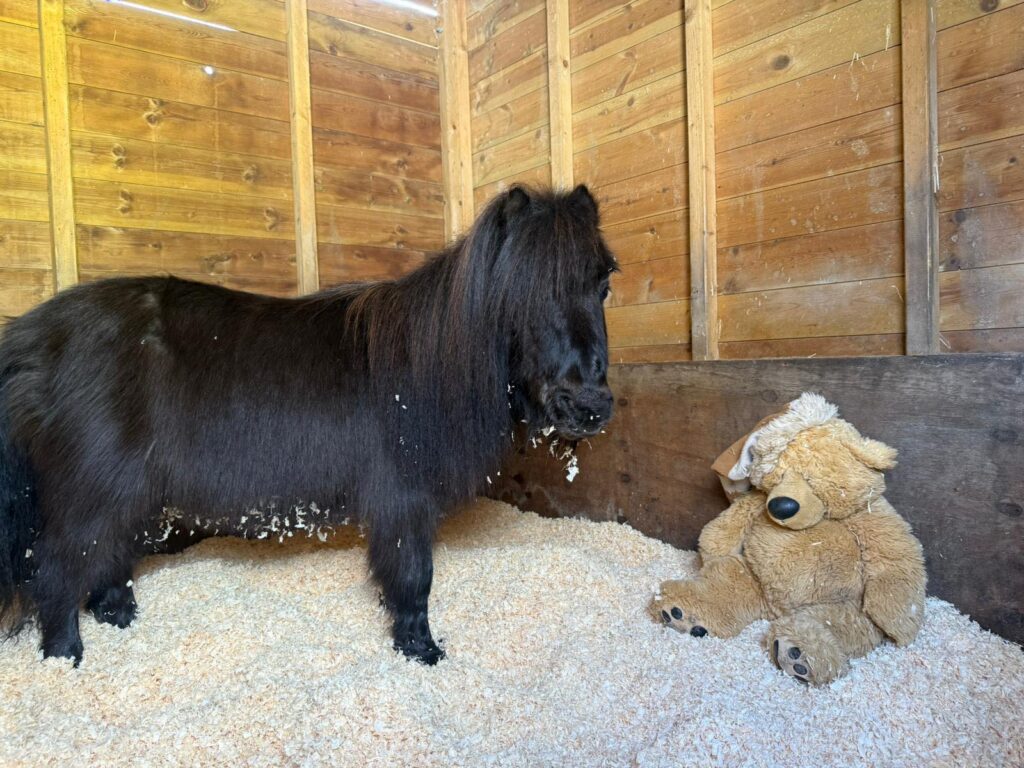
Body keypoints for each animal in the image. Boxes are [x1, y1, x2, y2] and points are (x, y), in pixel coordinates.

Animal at [0, 184, 618, 666]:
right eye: (526, 289)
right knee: (57, 570)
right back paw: (65, 658)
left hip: (124, 490)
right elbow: (413, 578)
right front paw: (421, 650)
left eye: (604, 285)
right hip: (92, 490)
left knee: (106, 554)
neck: (427, 363)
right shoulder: (403, 499)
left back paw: (120, 614)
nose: (589, 404)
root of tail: (34, 335)